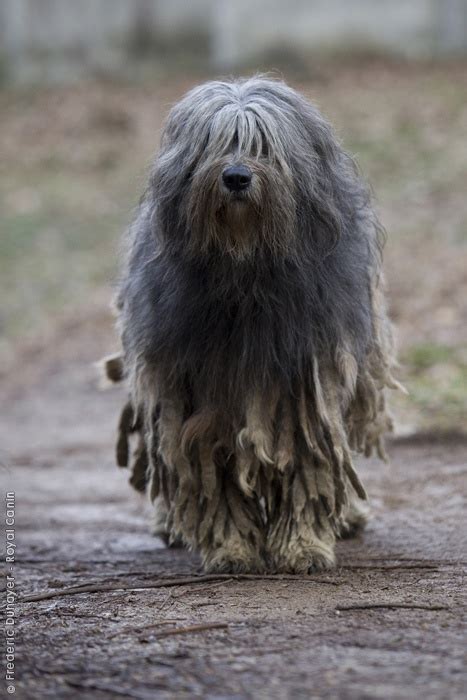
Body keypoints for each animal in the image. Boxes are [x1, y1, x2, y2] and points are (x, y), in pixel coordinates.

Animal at [104, 78, 404, 576]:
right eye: (214, 144)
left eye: (264, 146)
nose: (236, 177)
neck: (245, 272)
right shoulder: (199, 391)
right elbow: (211, 469)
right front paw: (231, 547)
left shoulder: (304, 383)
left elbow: (309, 461)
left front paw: (302, 545)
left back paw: (347, 516)